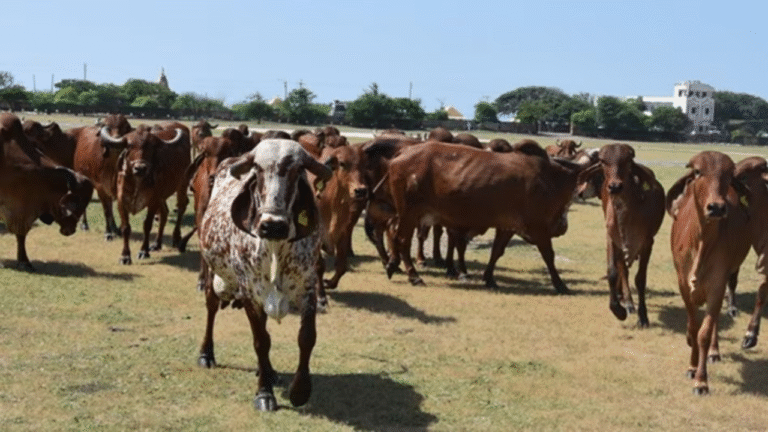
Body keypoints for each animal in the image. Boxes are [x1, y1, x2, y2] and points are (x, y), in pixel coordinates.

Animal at [113, 123, 190, 264]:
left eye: (151, 146)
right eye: (129, 145)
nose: (140, 168)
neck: (138, 182)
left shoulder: (153, 201)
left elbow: (147, 225)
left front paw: (144, 251)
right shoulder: (121, 201)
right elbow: (125, 227)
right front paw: (125, 256)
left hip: (182, 184)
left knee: (181, 207)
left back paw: (176, 238)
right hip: (162, 196)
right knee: (164, 212)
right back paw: (156, 244)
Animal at [197, 138, 333, 411]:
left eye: (297, 170)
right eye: (257, 170)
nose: (273, 225)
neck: (275, 247)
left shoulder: (308, 288)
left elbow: (306, 337)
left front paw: (300, 391)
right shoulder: (250, 293)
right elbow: (261, 341)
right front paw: (264, 394)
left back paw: (268, 371)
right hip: (212, 273)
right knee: (211, 306)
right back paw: (206, 354)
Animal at [381, 140, 584, 293]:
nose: (563, 226)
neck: (550, 178)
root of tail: (403, 152)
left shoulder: (508, 226)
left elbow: (496, 251)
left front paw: (489, 278)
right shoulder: (538, 226)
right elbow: (548, 255)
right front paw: (560, 284)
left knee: (394, 232)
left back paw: (393, 264)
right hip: (409, 213)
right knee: (402, 240)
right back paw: (413, 276)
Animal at [577, 143, 665, 327]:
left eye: (628, 161)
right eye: (603, 161)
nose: (615, 187)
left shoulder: (648, 242)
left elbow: (640, 279)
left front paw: (643, 316)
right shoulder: (611, 237)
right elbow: (613, 271)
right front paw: (618, 309)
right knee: (622, 268)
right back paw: (626, 300)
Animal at [666, 151, 751, 395]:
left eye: (729, 174)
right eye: (697, 171)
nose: (717, 208)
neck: (701, 241)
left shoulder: (717, 285)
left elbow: (704, 332)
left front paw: (701, 380)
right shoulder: (683, 285)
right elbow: (693, 327)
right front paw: (692, 366)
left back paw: (714, 352)